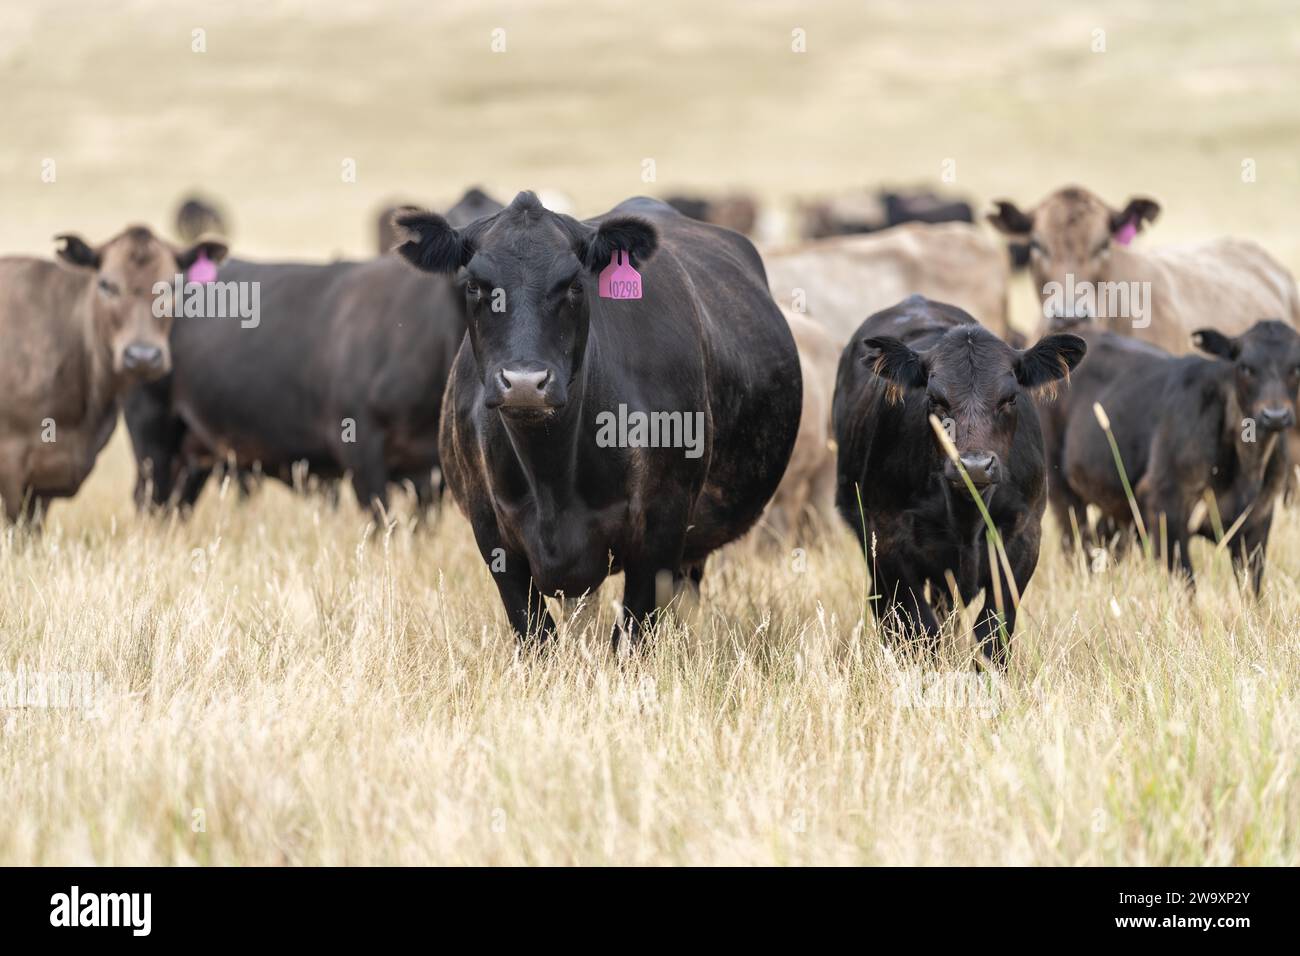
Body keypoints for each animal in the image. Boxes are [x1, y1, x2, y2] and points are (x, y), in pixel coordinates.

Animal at [125, 189, 504, 519]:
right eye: (458, 233)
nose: (470, 278)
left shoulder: (433, 470)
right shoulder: (361, 448)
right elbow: (382, 520)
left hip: (194, 451)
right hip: (152, 430)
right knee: (149, 499)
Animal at [395, 192, 801, 647]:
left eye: (574, 285)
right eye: (474, 285)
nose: (524, 383)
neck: (552, 478)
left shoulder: (663, 525)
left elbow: (631, 638)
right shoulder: (492, 533)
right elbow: (537, 637)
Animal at [833, 295, 1086, 666]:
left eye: (1010, 397)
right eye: (935, 399)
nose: (974, 465)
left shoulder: (1024, 536)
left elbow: (993, 628)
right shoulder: (889, 538)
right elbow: (921, 628)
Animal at [1040, 321, 1299, 592]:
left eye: (1296, 368)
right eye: (1245, 367)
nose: (1275, 415)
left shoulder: (1259, 521)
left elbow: (1251, 586)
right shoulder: (1164, 507)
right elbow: (1186, 582)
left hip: (1120, 502)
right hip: (1060, 487)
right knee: (1075, 542)